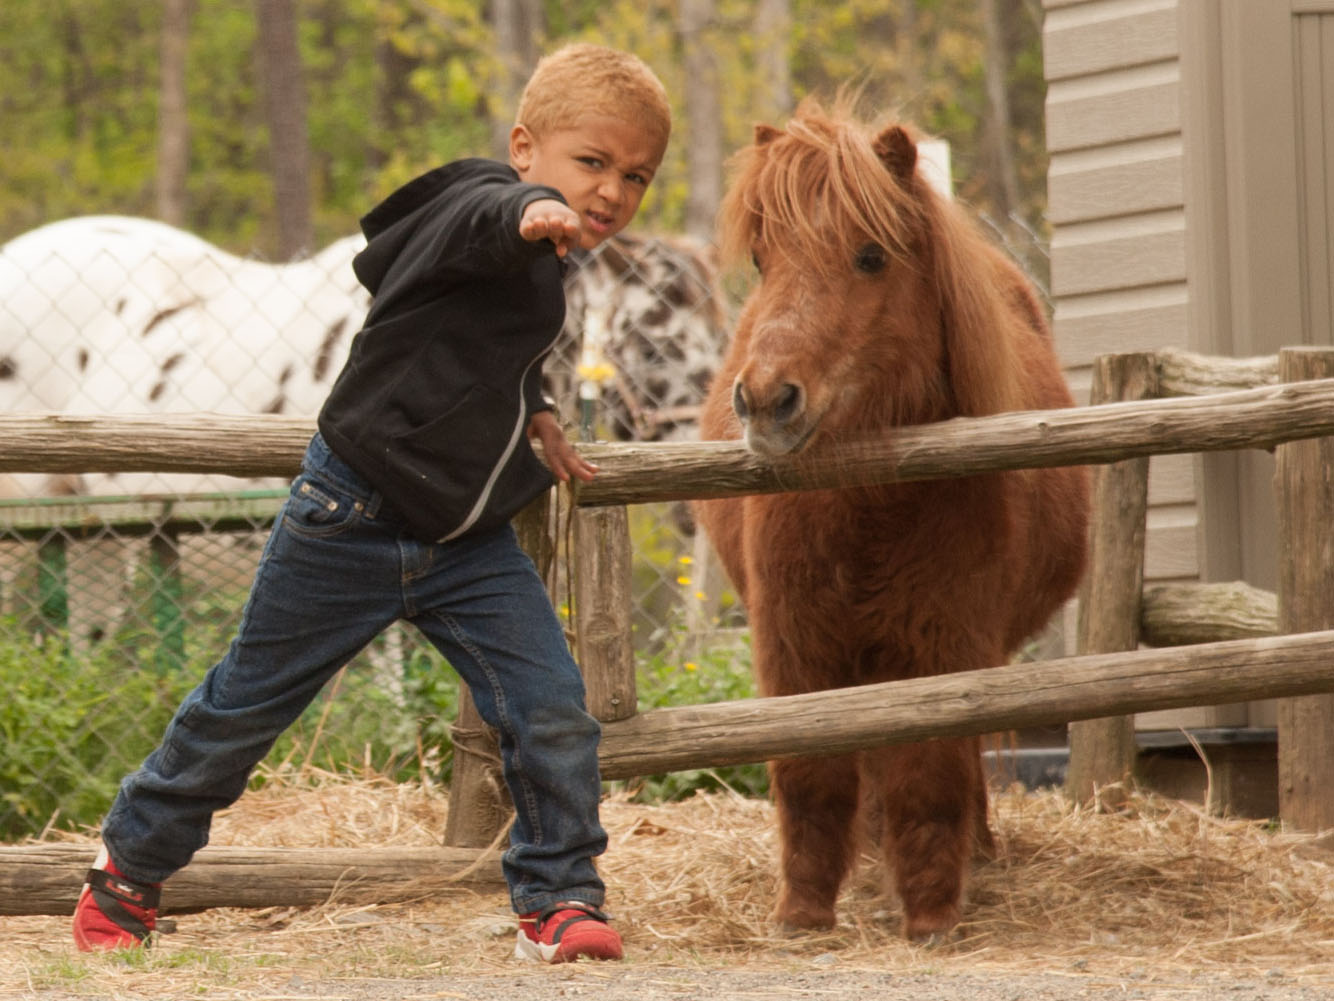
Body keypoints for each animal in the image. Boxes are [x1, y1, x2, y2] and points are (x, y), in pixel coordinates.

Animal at [693, 98, 1088, 944]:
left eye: (870, 257)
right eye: (763, 261)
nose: (767, 399)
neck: (868, 513)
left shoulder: (941, 645)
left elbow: (931, 775)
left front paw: (932, 911)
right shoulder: (795, 646)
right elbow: (809, 773)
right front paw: (804, 913)